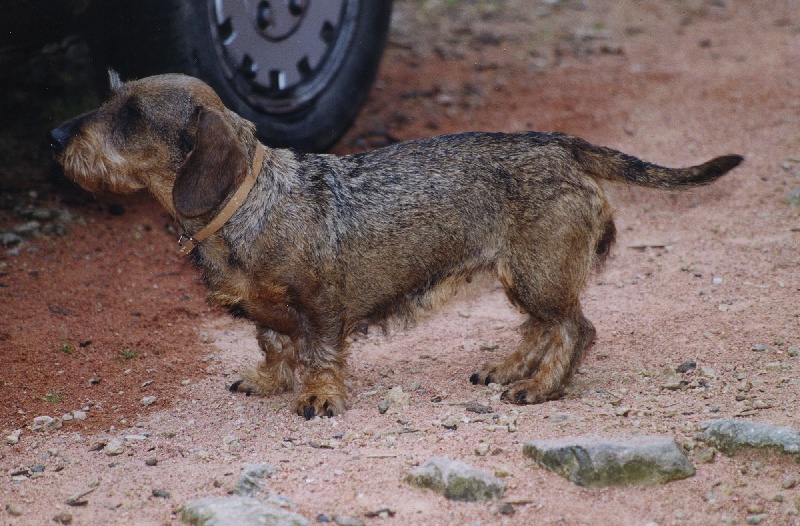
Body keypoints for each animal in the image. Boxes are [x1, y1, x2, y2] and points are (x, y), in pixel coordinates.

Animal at [47, 75, 740, 420]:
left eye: (132, 115)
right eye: (109, 97)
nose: (54, 135)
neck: (250, 203)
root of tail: (560, 145)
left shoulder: (321, 305)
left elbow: (320, 352)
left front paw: (318, 397)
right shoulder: (266, 315)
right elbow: (273, 343)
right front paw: (269, 379)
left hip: (537, 274)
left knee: (576, 328)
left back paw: (540, 388)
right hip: (520, 274)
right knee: (545, 326)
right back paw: (511, 368)